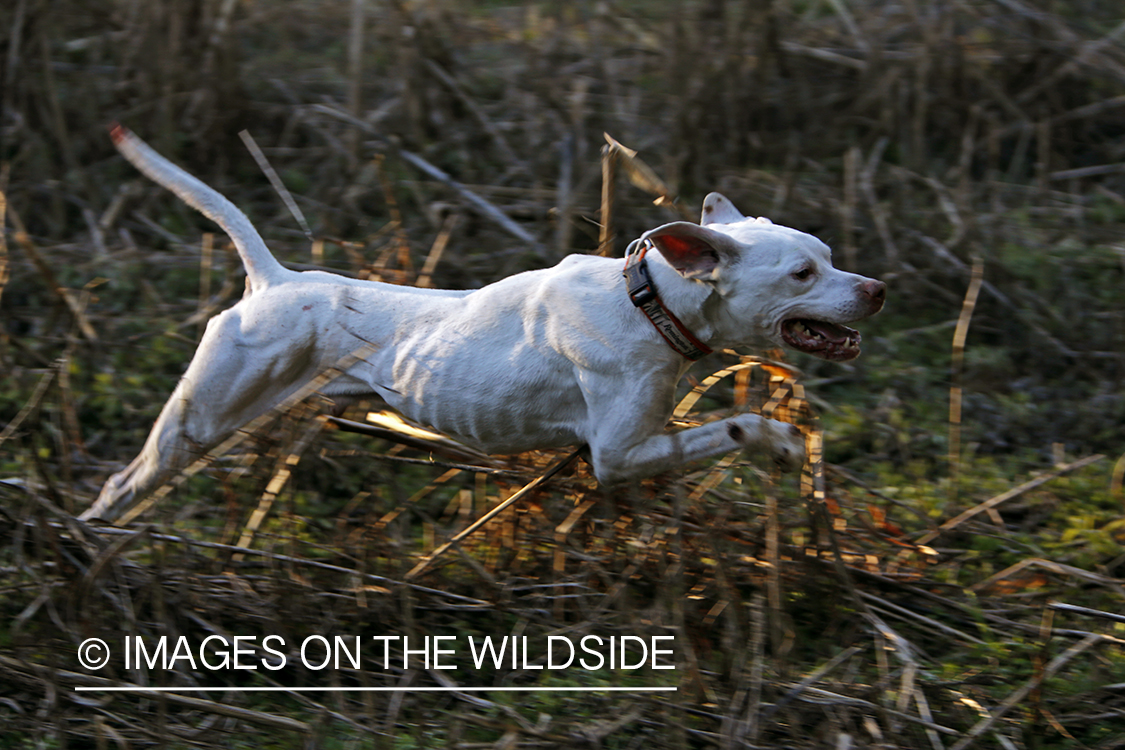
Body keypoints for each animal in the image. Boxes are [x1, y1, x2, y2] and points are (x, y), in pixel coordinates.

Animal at [81, 125, 886, 521]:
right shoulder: (618, 454)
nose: (877, 289)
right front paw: (784, 445)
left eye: (829, 257)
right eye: (802, 274)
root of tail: (274, 280)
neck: (650, 298)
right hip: (196, 421)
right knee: (123, 481)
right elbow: (737, 426)